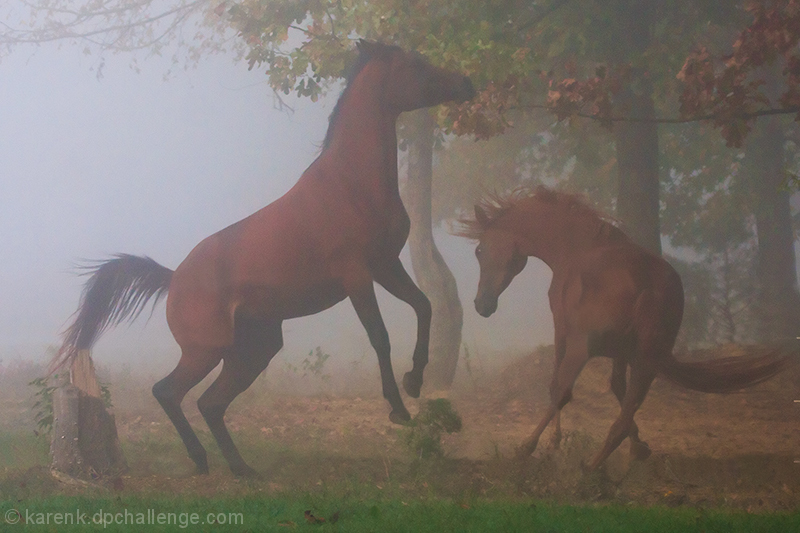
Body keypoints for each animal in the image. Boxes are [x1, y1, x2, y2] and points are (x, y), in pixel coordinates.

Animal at [56, 39, 476, 476]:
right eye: (416, 64)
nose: (467, 83)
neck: (351, 184)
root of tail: (173, 278)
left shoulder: (386, 265)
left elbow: (424, 306)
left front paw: (414, 382)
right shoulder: (357, 275)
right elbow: (380, 335)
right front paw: (398, 410)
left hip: (254, 351)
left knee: (210, 402)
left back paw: (242, 470)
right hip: (206, 351)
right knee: (169, 391)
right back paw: (204, 459)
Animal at [460, 186, 792, 470]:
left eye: (480, 250)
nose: (481, 305)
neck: (577, 246)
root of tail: (648, 284)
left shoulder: (564, 332)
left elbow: (556, 385)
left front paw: (549, 443)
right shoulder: (622, 350)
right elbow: (618, 388)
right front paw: (640, 445)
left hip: (586, 348)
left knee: (565, 391)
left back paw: (551, 456)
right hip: (646, 357)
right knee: (629, 404)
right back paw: (602, 462)